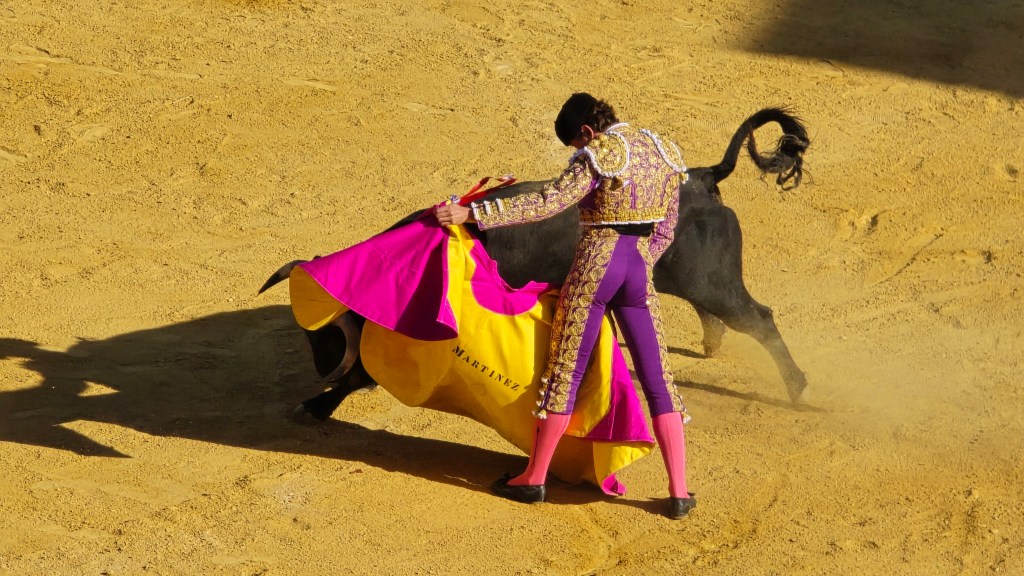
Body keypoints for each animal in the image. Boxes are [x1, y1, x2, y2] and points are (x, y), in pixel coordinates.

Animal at [261, 107, 810, 421]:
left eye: (330, 330)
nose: (322, 367)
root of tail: (702, 176)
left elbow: (362, 375)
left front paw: (314, 405)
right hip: (696, 280)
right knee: (718, 313)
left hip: (714, 281)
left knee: (758, 318)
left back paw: (797, 388)